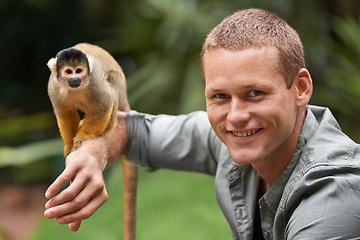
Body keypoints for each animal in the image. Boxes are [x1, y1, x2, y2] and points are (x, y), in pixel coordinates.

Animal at [47, 43, 138, 240]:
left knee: (112, 90)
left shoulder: (95, 83)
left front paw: (84, 136)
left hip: (119, 89)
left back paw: (108, 127)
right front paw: (69, 143)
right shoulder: (53, 87)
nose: (75, 78)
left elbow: (103, 105)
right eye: (68, 71)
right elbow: (65, 113)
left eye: (79, 71)